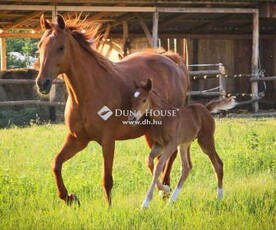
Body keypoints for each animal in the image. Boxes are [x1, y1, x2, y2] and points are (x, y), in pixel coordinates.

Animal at [36, 14, 190, 205]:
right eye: (39, 45)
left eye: (60, 47)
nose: (42, 83)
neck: (88, 92)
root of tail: (172, 61)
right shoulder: (77, 139)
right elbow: (56, 164)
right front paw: (70, 197)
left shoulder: (108, 141)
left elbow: (107, 179)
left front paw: (108, 208)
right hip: (150, 133)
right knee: (158, 159)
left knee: (170, 154)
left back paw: (166, 189)